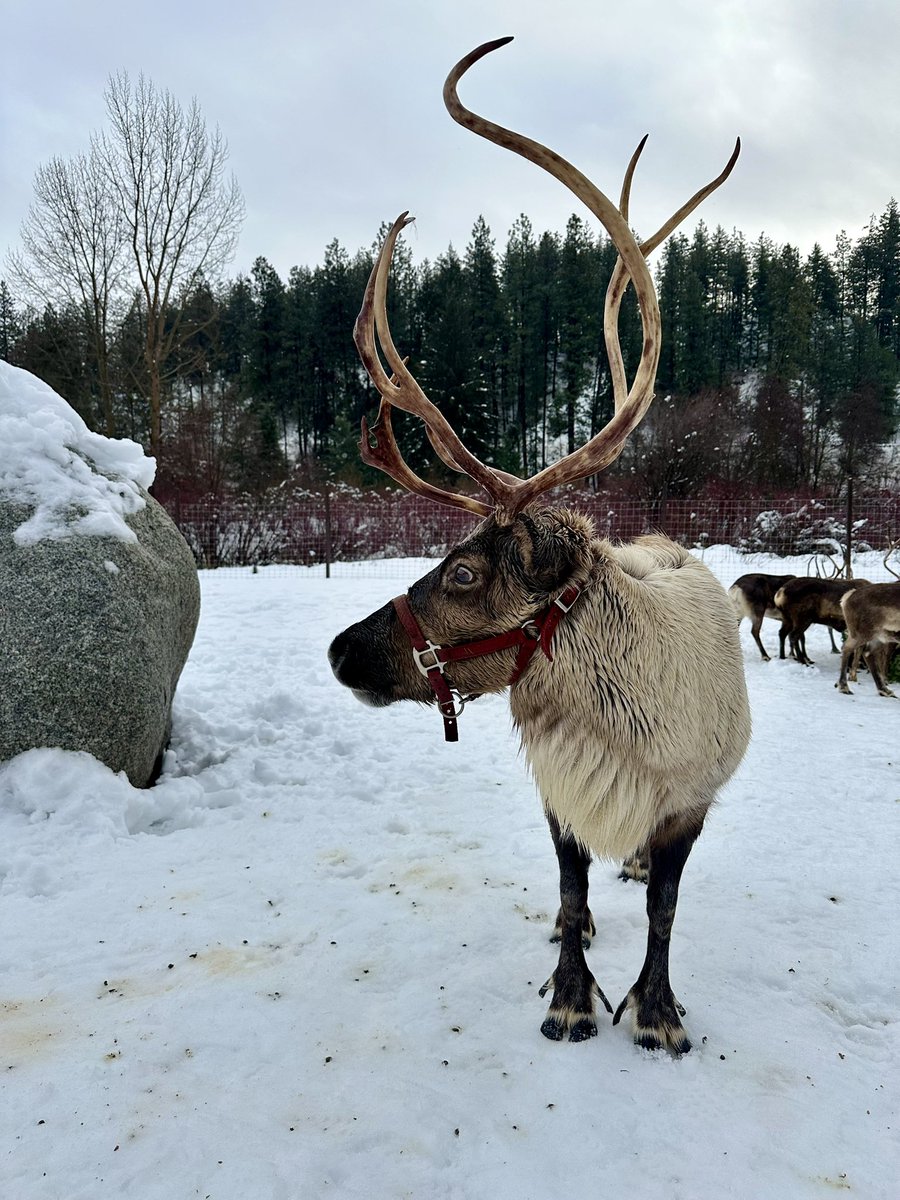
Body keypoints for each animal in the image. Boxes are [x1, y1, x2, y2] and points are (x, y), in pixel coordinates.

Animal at [328, 37, 750, 1055]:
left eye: (466, 571)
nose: (340, 649)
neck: (624, 728)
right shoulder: (560, 791)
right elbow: (565, 889)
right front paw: (570, 994)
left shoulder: (688, 803)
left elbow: (666, 908)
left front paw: (656, 1009)